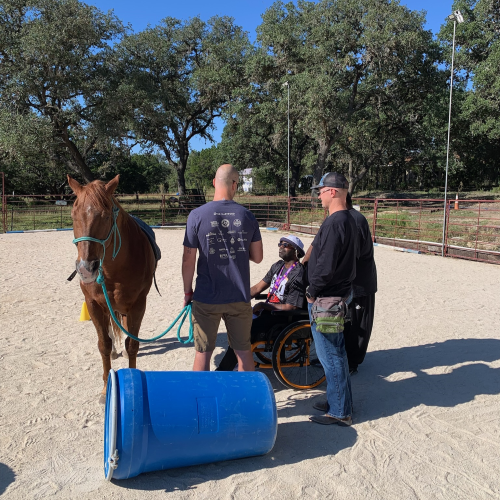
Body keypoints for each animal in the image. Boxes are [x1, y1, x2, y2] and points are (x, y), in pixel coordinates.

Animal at [67, 176, 155, 402]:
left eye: (106, 217)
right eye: (73, 215)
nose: (86, 269)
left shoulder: (138, 305)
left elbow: (132, 344)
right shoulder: (93, 305)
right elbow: (103, 344)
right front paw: (106, 388)